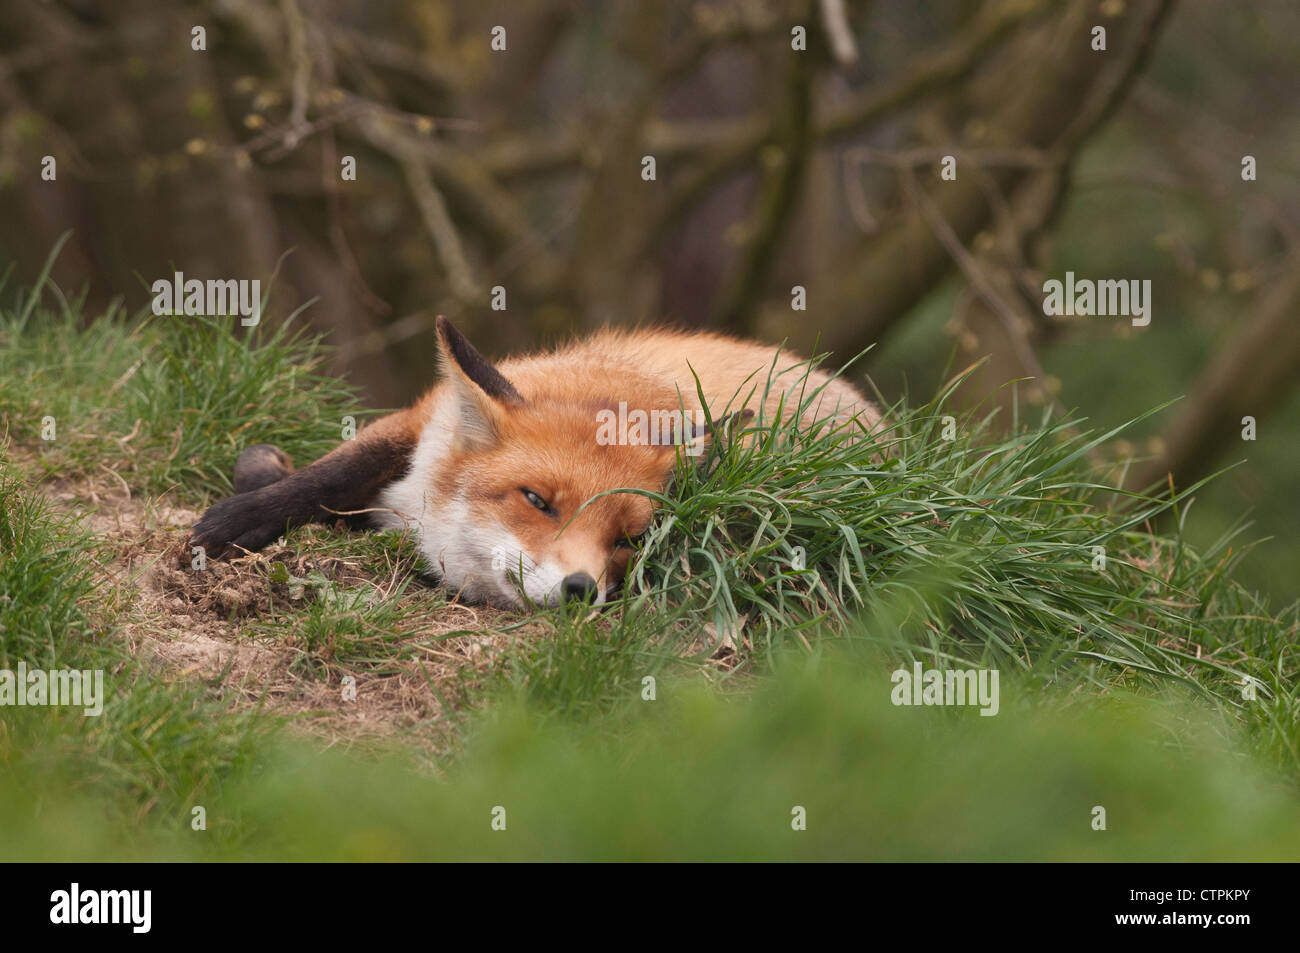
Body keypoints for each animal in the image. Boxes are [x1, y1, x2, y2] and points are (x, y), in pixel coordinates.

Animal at [189, 315, 883, 605]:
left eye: (630, 539)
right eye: (536, 501)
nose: (581, 590)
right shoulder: (421, 422)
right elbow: (327, 474)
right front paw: (233, 522)